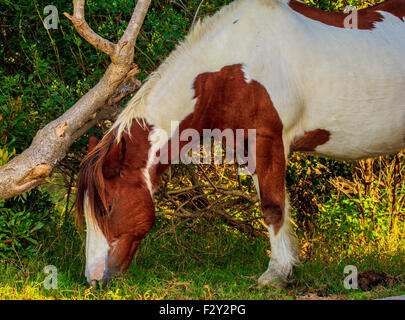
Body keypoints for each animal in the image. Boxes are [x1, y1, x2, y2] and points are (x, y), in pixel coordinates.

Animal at [75, 0, 404, 288]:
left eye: (106, 207)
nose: (94, 280)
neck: (236, 66)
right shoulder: (249, 149)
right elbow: (274, 206)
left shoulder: (268, 141)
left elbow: (273, 208)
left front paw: (276, 274)